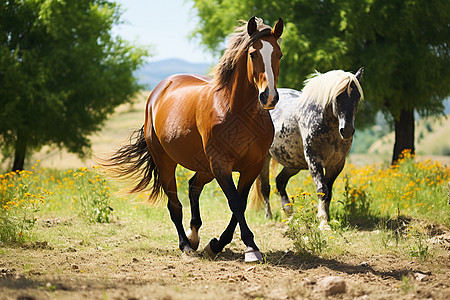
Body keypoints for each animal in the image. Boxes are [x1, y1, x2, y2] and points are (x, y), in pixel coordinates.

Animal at [100, 16, 284, 262]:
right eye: (253, 54)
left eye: (279, 55)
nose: (269, 97)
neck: (237, 113)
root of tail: (158, 92)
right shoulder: (221, 164)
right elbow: (235, 202)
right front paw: (251, 247)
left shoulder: (252, 166)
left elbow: (241, 204)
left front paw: (216, 245)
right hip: (167, 162)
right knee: (175, 205)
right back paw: (186, 245)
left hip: (204, 167)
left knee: (193, 187)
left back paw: (194, 236)